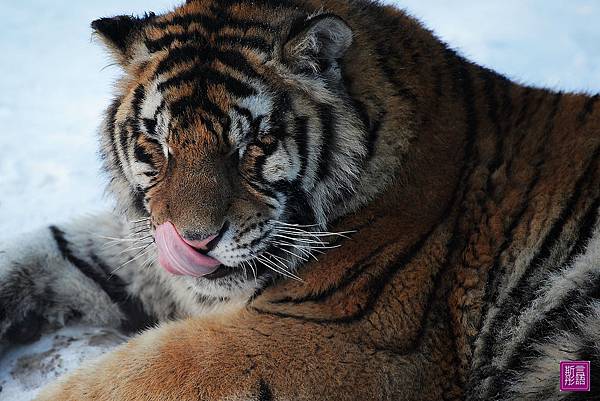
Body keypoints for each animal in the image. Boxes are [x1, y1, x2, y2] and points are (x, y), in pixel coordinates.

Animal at [1, 0, 600, 398]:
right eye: (157, 144)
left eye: (251, 144)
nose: (194, 243)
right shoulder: (146, 248)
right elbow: (40, 252)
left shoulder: (338, 338)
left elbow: (131, 375)